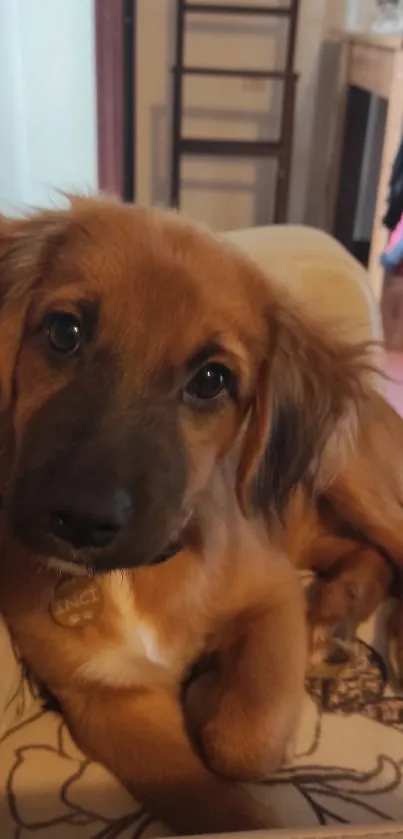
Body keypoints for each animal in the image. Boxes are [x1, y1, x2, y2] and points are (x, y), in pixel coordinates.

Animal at [0, 197, 376, 832]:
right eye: (63, 332)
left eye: (211, 380)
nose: (82, 519)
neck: (136, 580)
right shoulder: (107, 696)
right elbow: (206, 800)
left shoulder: (274, 592)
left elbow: (245, 743)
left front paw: (210, 697)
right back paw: (331, 622)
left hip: (355, 480)